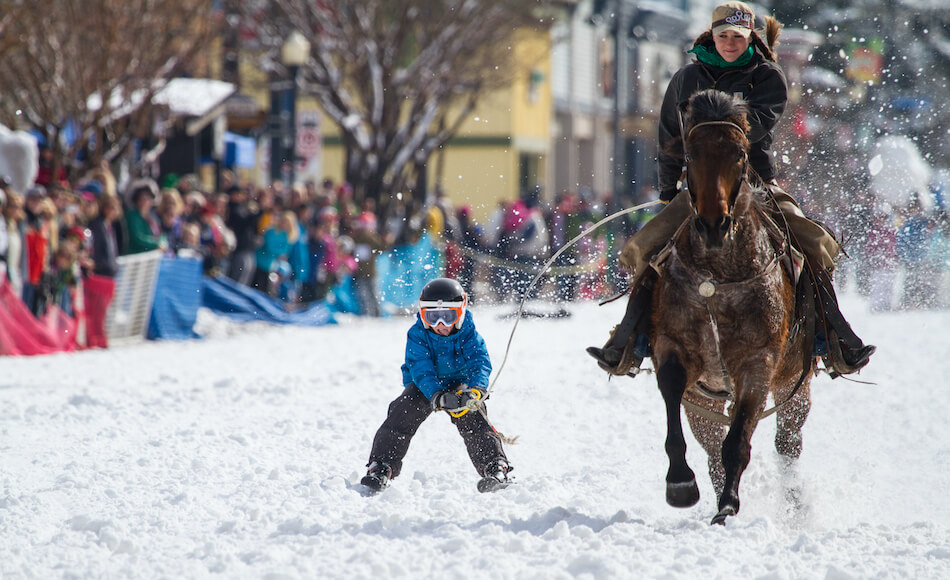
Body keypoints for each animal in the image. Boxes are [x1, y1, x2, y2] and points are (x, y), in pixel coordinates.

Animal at [656, 87, 820, 524]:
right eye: (690, 152)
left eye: (740, 153)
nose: (714, 224)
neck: (717, 277)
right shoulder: (676, 352)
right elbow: (673, 397)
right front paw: (680, 482)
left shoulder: (757, 362)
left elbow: (739, 441)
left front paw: (728, 504)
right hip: (707, 400)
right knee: (713, 446)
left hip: (794, 384)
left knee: (787, 443)